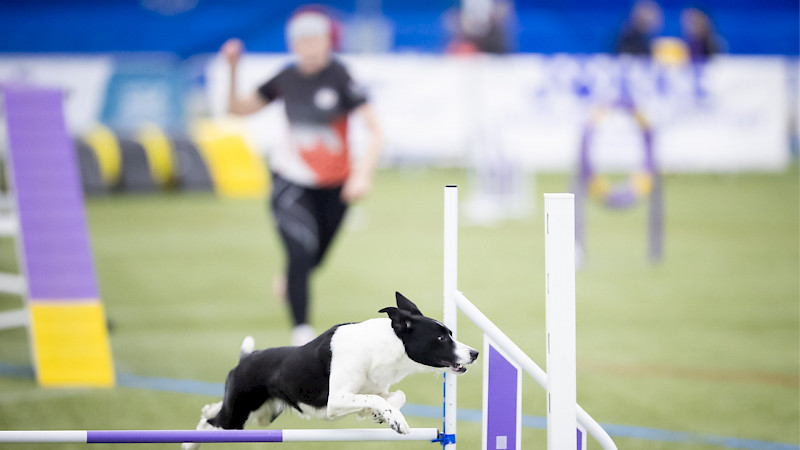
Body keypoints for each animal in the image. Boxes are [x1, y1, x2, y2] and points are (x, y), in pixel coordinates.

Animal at [184, 292, 478, 450]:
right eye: (441, 338)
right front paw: (395, 421)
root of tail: (245, 358)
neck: (382, 349)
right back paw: (189, 442)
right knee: (209, 424)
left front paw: (376, 415)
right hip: (236, 417)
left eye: (450, 333)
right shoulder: (335, 401)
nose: (474, 353)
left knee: (213, 411)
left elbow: (392, 396)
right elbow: (376, 399)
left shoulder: (377, 387)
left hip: (263, 415)